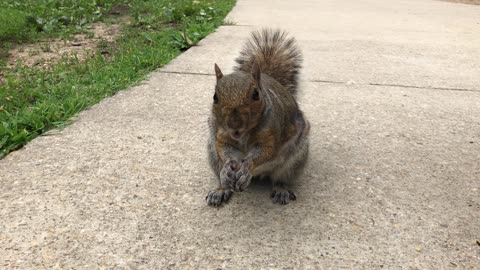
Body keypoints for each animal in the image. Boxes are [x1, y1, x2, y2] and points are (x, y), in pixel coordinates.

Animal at [204, 29, 310, 207]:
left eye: (255, 95)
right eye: (215, 97)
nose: (234, 124)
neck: (244, 135)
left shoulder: (272, 132)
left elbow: (267, 151)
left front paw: (247, 167)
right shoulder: (221, 134)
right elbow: (224, 149)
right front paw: (227, 167)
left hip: (295, 160)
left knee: (280, 178)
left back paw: (280, 190)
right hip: (212, 155)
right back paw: (220, 189)